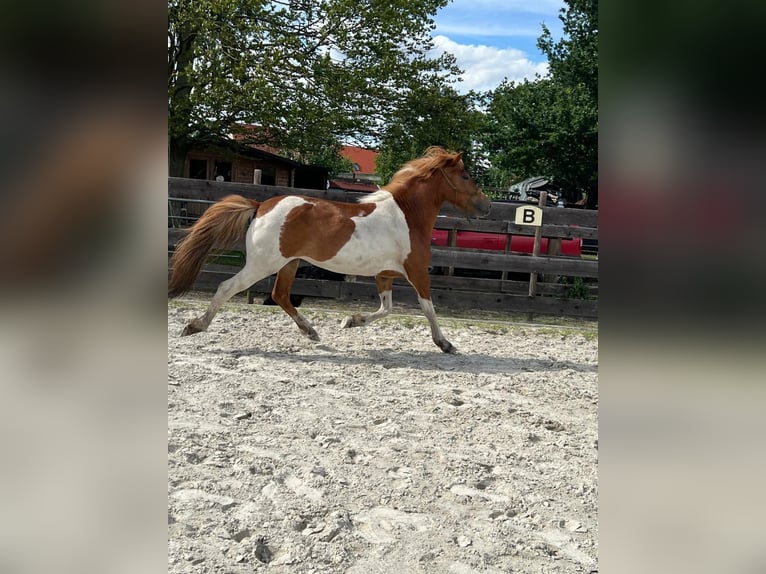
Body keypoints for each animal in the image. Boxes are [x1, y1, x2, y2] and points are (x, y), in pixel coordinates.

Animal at [168, 146, 492, 354]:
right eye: (465, 176)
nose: (486, 205)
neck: (407, 215)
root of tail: (260, 205)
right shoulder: (417, 272)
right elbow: (428, 308)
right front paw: (445, 344)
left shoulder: (384, 275)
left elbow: (386, 309)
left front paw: (350, 321)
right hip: (262, 264)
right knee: (227, 287)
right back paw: (194, 326)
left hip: (289, 263)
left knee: (280, 296)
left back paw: (311, 332)